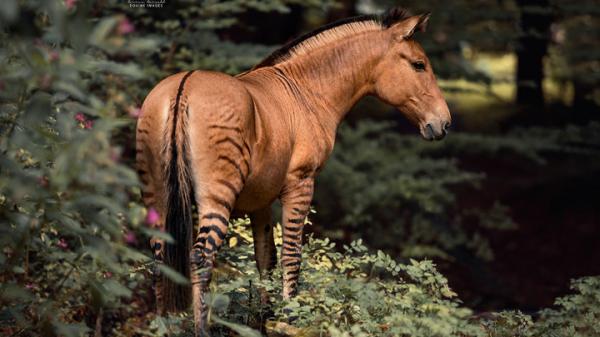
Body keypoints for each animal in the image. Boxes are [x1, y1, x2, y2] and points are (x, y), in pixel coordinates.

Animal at [135, 6, 450, 334]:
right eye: (419, 65)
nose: (444, 124)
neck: (306, 93)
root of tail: (183, 88)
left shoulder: (259, 202)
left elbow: (266, 258)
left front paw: (261, 320)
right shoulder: (301, 183)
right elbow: (291, 255)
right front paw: (289, 317)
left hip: (157, 195)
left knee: (160, 258)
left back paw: (163, 326)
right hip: (216, 195)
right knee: (200, 257)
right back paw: (201, 329)